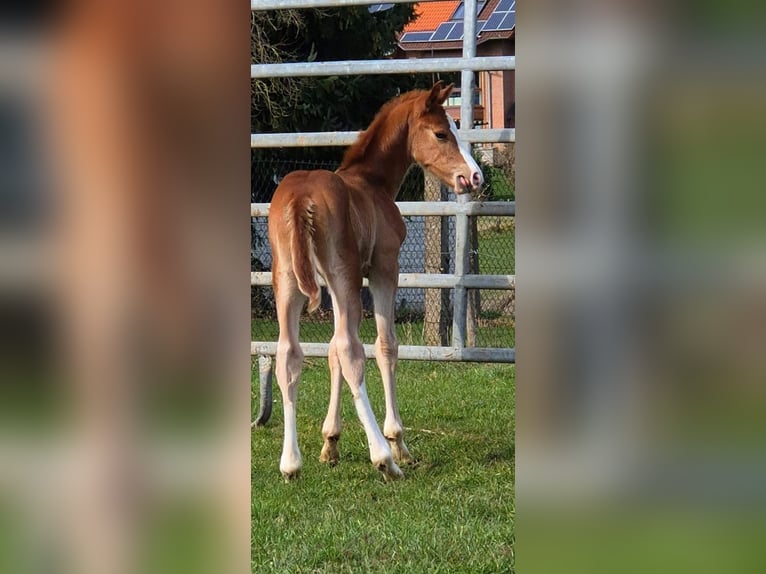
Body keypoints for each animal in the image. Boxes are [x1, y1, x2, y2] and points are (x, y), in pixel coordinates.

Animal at [268, 81, 483, 481]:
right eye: (441, 132)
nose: (475, 177)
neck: (371, 182)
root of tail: (301, 199)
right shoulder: (383, 269)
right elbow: (385, 346)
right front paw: (398, 441)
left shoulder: (334, 285)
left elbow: (331, 351)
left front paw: (330, 443)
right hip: (344, 275)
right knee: (352, 350)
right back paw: (384, 459)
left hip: (289, 281)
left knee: (289, 354)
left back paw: (290, 464)